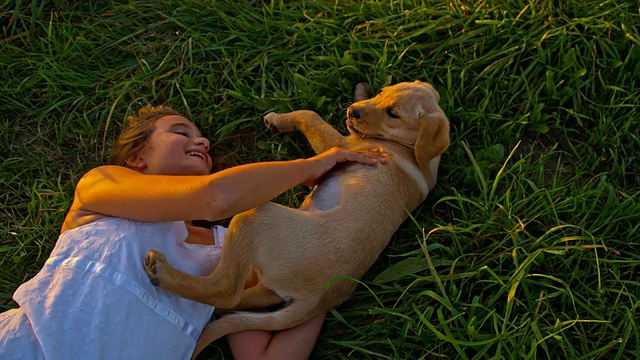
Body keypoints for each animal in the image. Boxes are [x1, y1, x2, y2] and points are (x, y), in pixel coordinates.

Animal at [142, 79, 450, 358]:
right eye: (384, 92)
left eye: (393, 113)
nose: (353, 112)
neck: (408, 148)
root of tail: (318, 300)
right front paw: (360, 91)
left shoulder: (342, 144)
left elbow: (310, 115)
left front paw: (279, 119)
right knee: (243, 298)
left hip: (258, 217)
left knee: (226, 290)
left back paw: (164, 274)